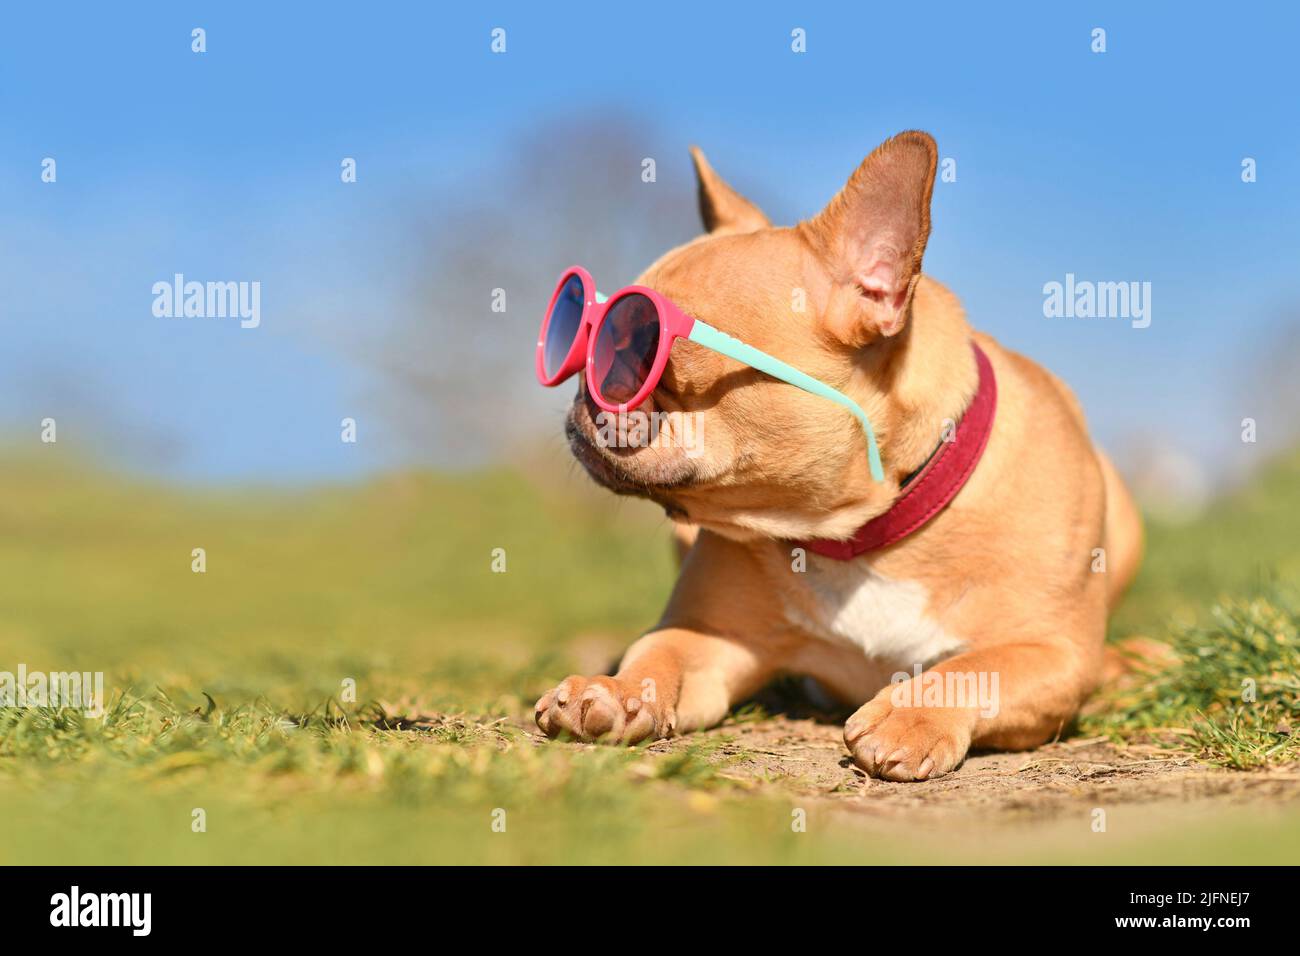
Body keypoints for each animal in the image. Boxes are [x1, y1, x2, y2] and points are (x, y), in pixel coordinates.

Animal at [533, 132, 1144, 780]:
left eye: (638, 344)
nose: (582, 388)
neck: (865, 532)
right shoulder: (710, 635)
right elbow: (658, 652)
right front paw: (614, 691)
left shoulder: (1053, 650)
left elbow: (975, 668)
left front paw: (908, 715)